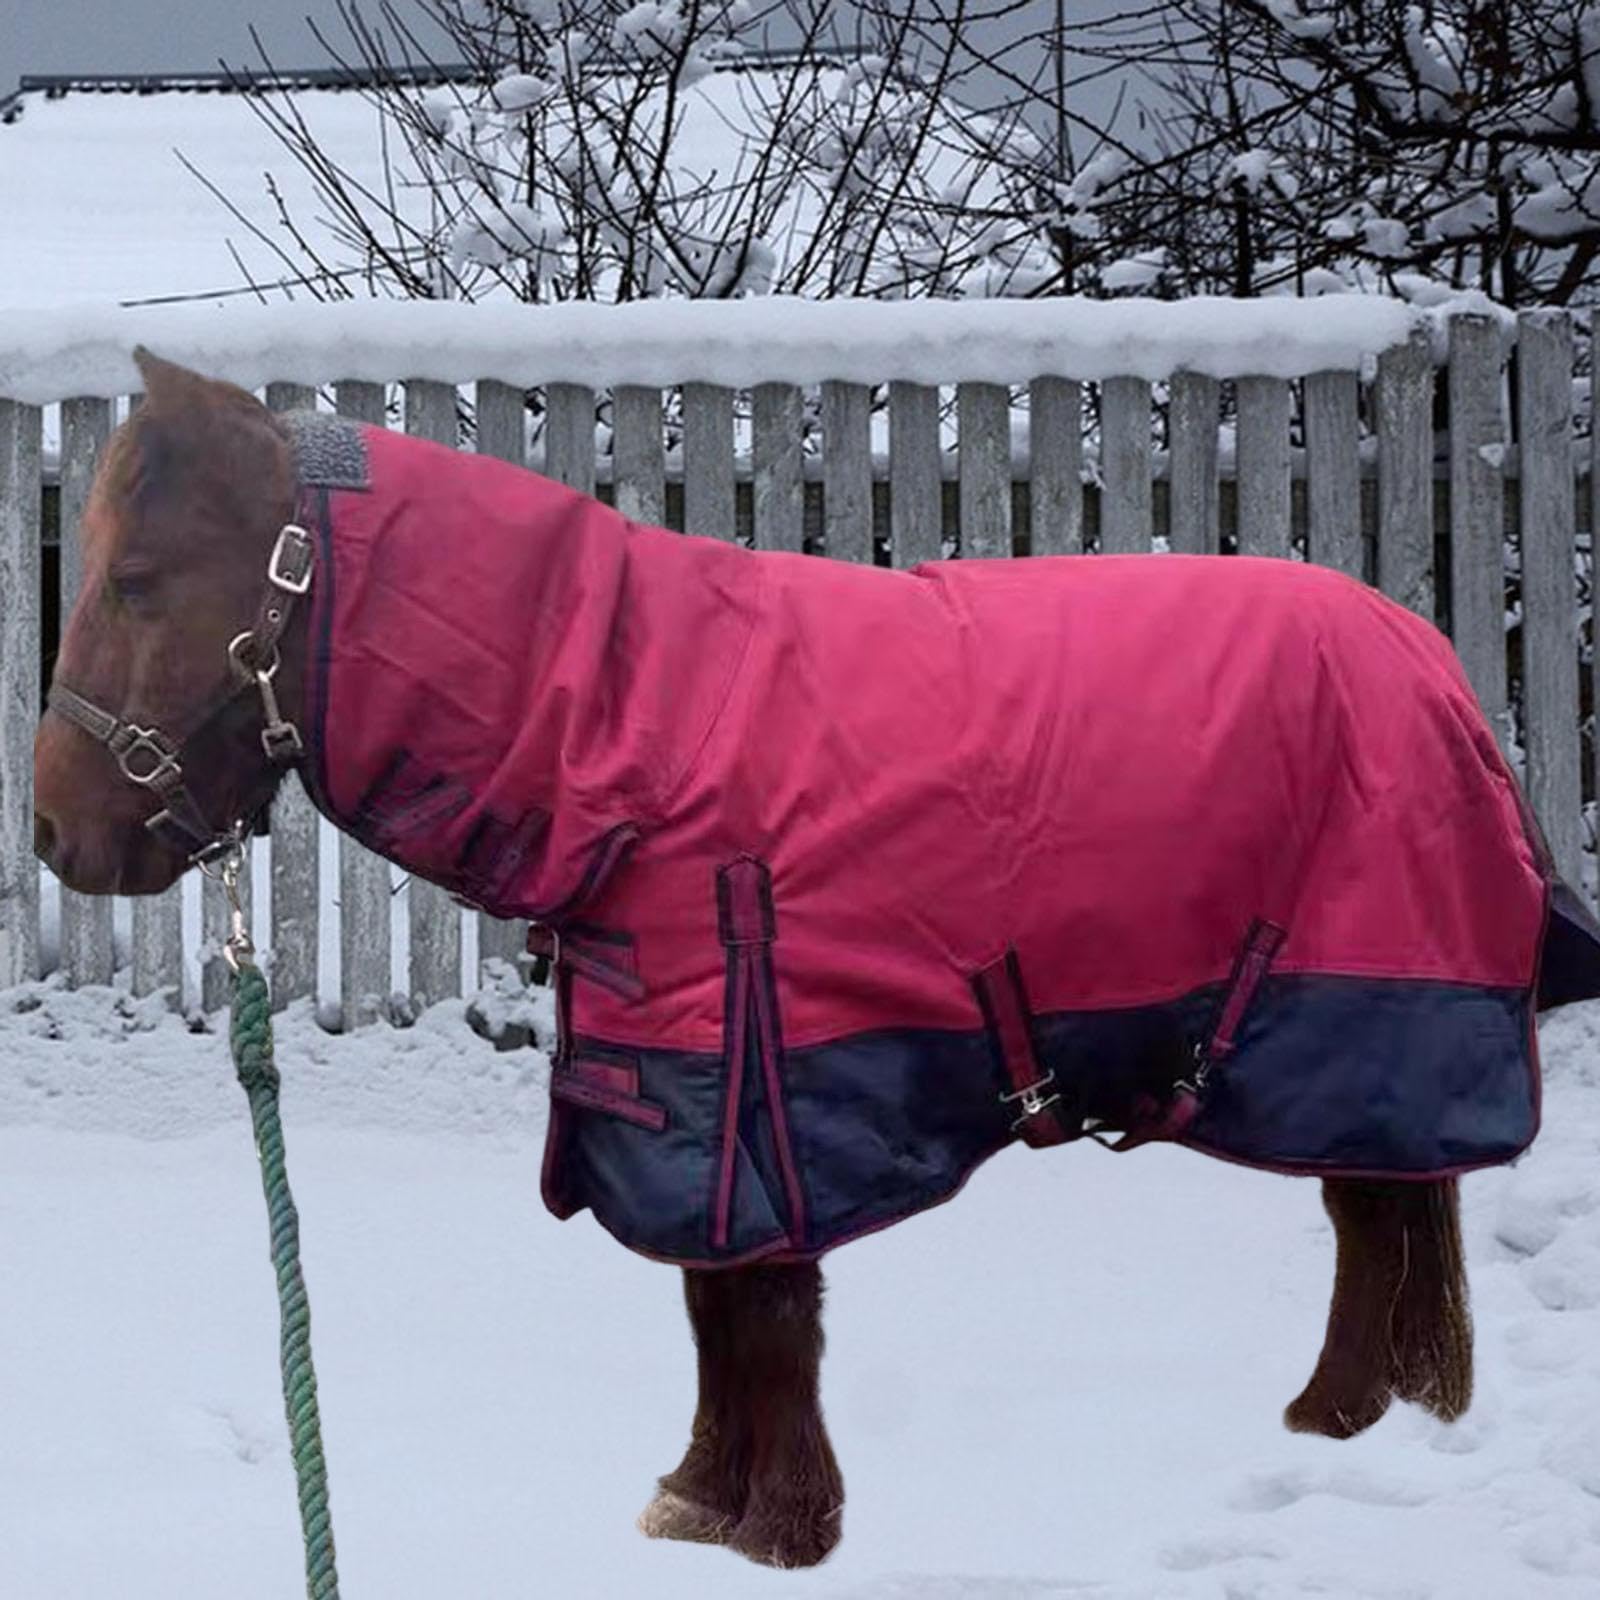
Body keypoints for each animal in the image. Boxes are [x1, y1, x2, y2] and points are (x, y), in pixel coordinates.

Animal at [34, 349, 1600, 1571]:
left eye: (139, 579)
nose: (56, 830)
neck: (638, 732)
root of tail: (1435, 663)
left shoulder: (756, 1072)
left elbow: (765, 1310)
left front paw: (777, 1526)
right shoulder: (674, 1078)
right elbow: (716, 1307)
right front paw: (705, 1502)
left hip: (1367, 1017)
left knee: (1373, 1218)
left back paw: (1339, 1419)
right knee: (1385, 1219)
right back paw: (1378, 1420)